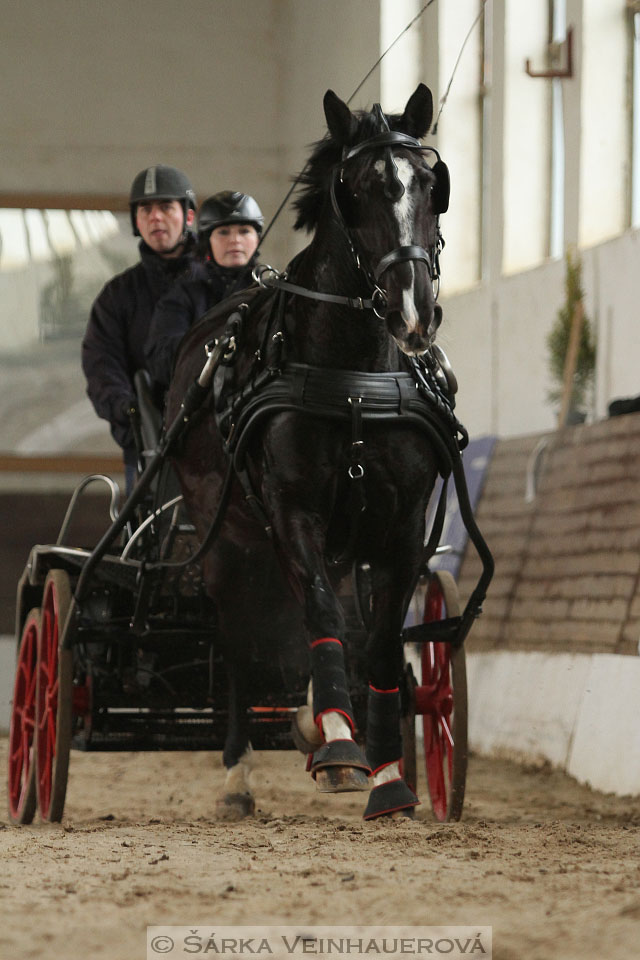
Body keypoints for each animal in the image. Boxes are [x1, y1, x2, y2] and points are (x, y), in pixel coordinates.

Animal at [165, 84, 456, 816]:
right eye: (356, 188)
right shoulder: (293, 512)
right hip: (231, 539)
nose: (414, 312)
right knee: (241, 641)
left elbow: (377, 643)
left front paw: (386, 774)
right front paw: (341, 742)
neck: (354, 379)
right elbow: (320, 615)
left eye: (431, 185)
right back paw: (243, 774)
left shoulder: (401, 527)